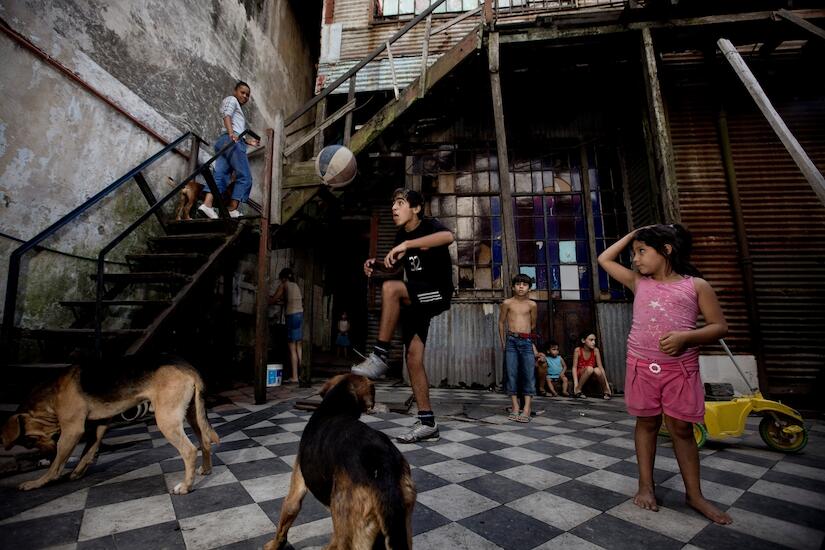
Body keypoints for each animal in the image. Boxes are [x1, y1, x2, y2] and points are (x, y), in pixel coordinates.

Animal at [0, 360, 219, 494]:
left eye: (29, 441)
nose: (45, 455)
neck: (50, 394)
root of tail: (187, 367)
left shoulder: (72, 430)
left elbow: (57, 464)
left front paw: (38, 482)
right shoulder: (100, 424)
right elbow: (88, 451)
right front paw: (77, 473)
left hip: (166, 419)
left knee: (189, 450)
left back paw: (186, 486)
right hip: (193, 414)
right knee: (205, 441)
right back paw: (206, 470)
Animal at [264, 376, 416, 550]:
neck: (334, 409)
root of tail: (381, 464)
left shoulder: (296, 491)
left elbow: (283, 525)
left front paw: (274, 545)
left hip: (348, 533)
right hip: (402, 527)